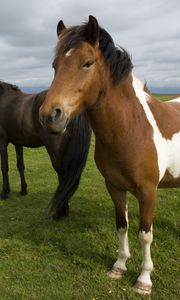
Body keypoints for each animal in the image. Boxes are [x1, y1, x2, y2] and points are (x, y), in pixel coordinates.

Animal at [0, 82, 91, 220]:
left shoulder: (2, 142)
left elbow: (4, 167)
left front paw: (5, 192)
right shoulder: (18, 143)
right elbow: (20, 166)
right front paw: (23, 190)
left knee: (62, 175)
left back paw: (60, 213)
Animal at [38, 15, 179, 294]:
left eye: (87, 62)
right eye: (55, 66)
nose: (50, 115)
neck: (131, 129)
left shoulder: (148, 192)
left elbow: (145, 234)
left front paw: (144, 279)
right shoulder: (114, 187)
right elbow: (122, 226)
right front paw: (119, 266)